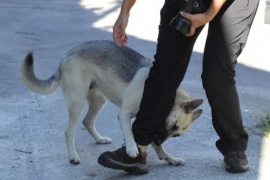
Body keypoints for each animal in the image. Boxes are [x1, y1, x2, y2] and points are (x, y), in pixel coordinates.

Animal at [21, 40, 202, 166]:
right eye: (171, 124)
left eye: (176, 134)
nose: (158, 141)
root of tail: (68, 54)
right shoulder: (125, 115)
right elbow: (130, 133)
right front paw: (131, 148)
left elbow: (156, 146)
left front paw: (170, 158)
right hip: (78, 102)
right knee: (69, 132)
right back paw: (73, 156)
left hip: (99, 100)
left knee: (87, 121)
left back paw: (99, 139)